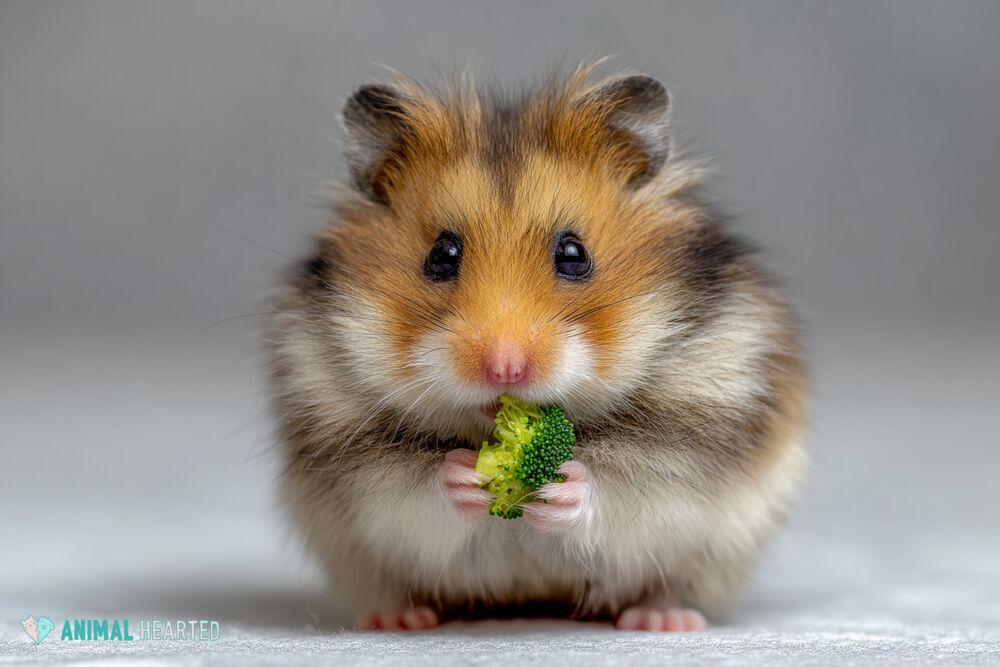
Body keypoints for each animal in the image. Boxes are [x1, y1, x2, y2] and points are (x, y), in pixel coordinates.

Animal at [266, 64, 807, 632]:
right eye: (441, 254)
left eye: (573, 253)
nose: (505, 369)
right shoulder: (350, 461)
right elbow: (416, 492)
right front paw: (462, 475)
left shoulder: (691, 442)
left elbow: (618, 489)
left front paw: (562, 484)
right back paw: (397, 619)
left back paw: (663, 619)